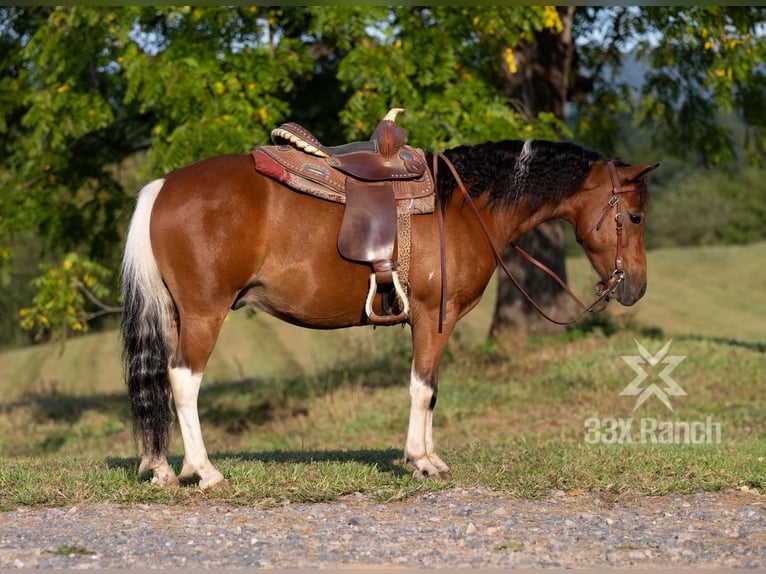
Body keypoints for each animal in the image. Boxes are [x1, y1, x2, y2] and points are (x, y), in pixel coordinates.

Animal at [121, 135, 660, 490]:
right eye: (633, 217)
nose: (635, 287)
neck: (461, 207)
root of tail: (162, 186)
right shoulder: (432, 318)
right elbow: (423, 389)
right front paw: (422, 461)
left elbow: (430, 391)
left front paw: (427, 456)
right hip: (204, 314)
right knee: (183, 381)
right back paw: (205, 471)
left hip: (177, 315)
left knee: (163, 380)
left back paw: (163, 467)